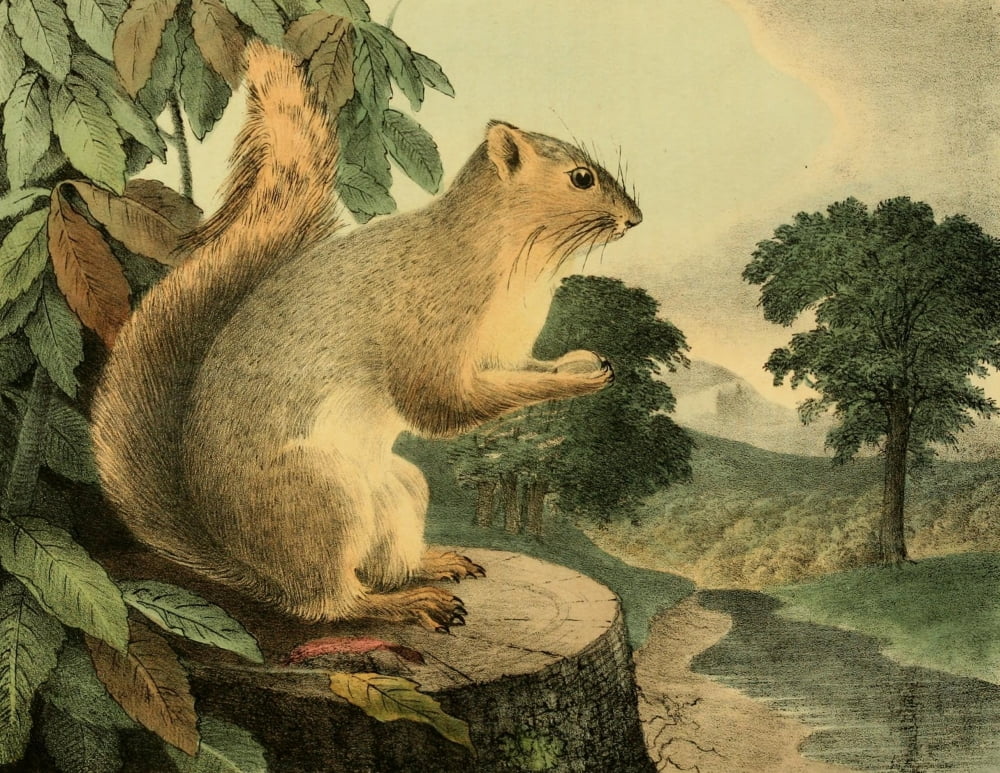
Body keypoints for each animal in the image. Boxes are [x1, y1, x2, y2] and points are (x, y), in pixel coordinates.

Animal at [91, 42, 642, 631]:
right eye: (581, 178)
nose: (634, 218)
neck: (523, 263)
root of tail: (247, 564)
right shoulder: (429, 328)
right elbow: (442, 406)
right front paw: (576, 382)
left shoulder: (500, 352)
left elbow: (522, 372)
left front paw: (580, 362)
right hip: (321, 500)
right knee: (331, 604)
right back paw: (408, 603)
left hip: (399, 491)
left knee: (383, 566)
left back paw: (433, 564)